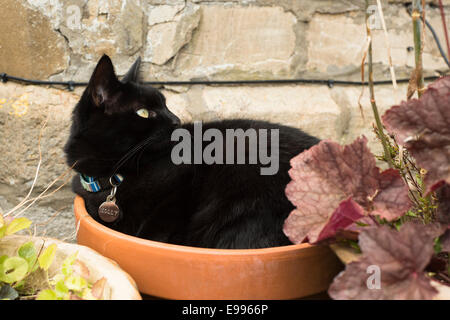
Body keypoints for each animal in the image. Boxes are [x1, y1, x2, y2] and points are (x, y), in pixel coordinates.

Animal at [64, 55, 320, 249]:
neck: (115, 177)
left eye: (165, 104)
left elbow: (156, 227)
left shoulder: (183, 186)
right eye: (144, 112)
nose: (176, 120)